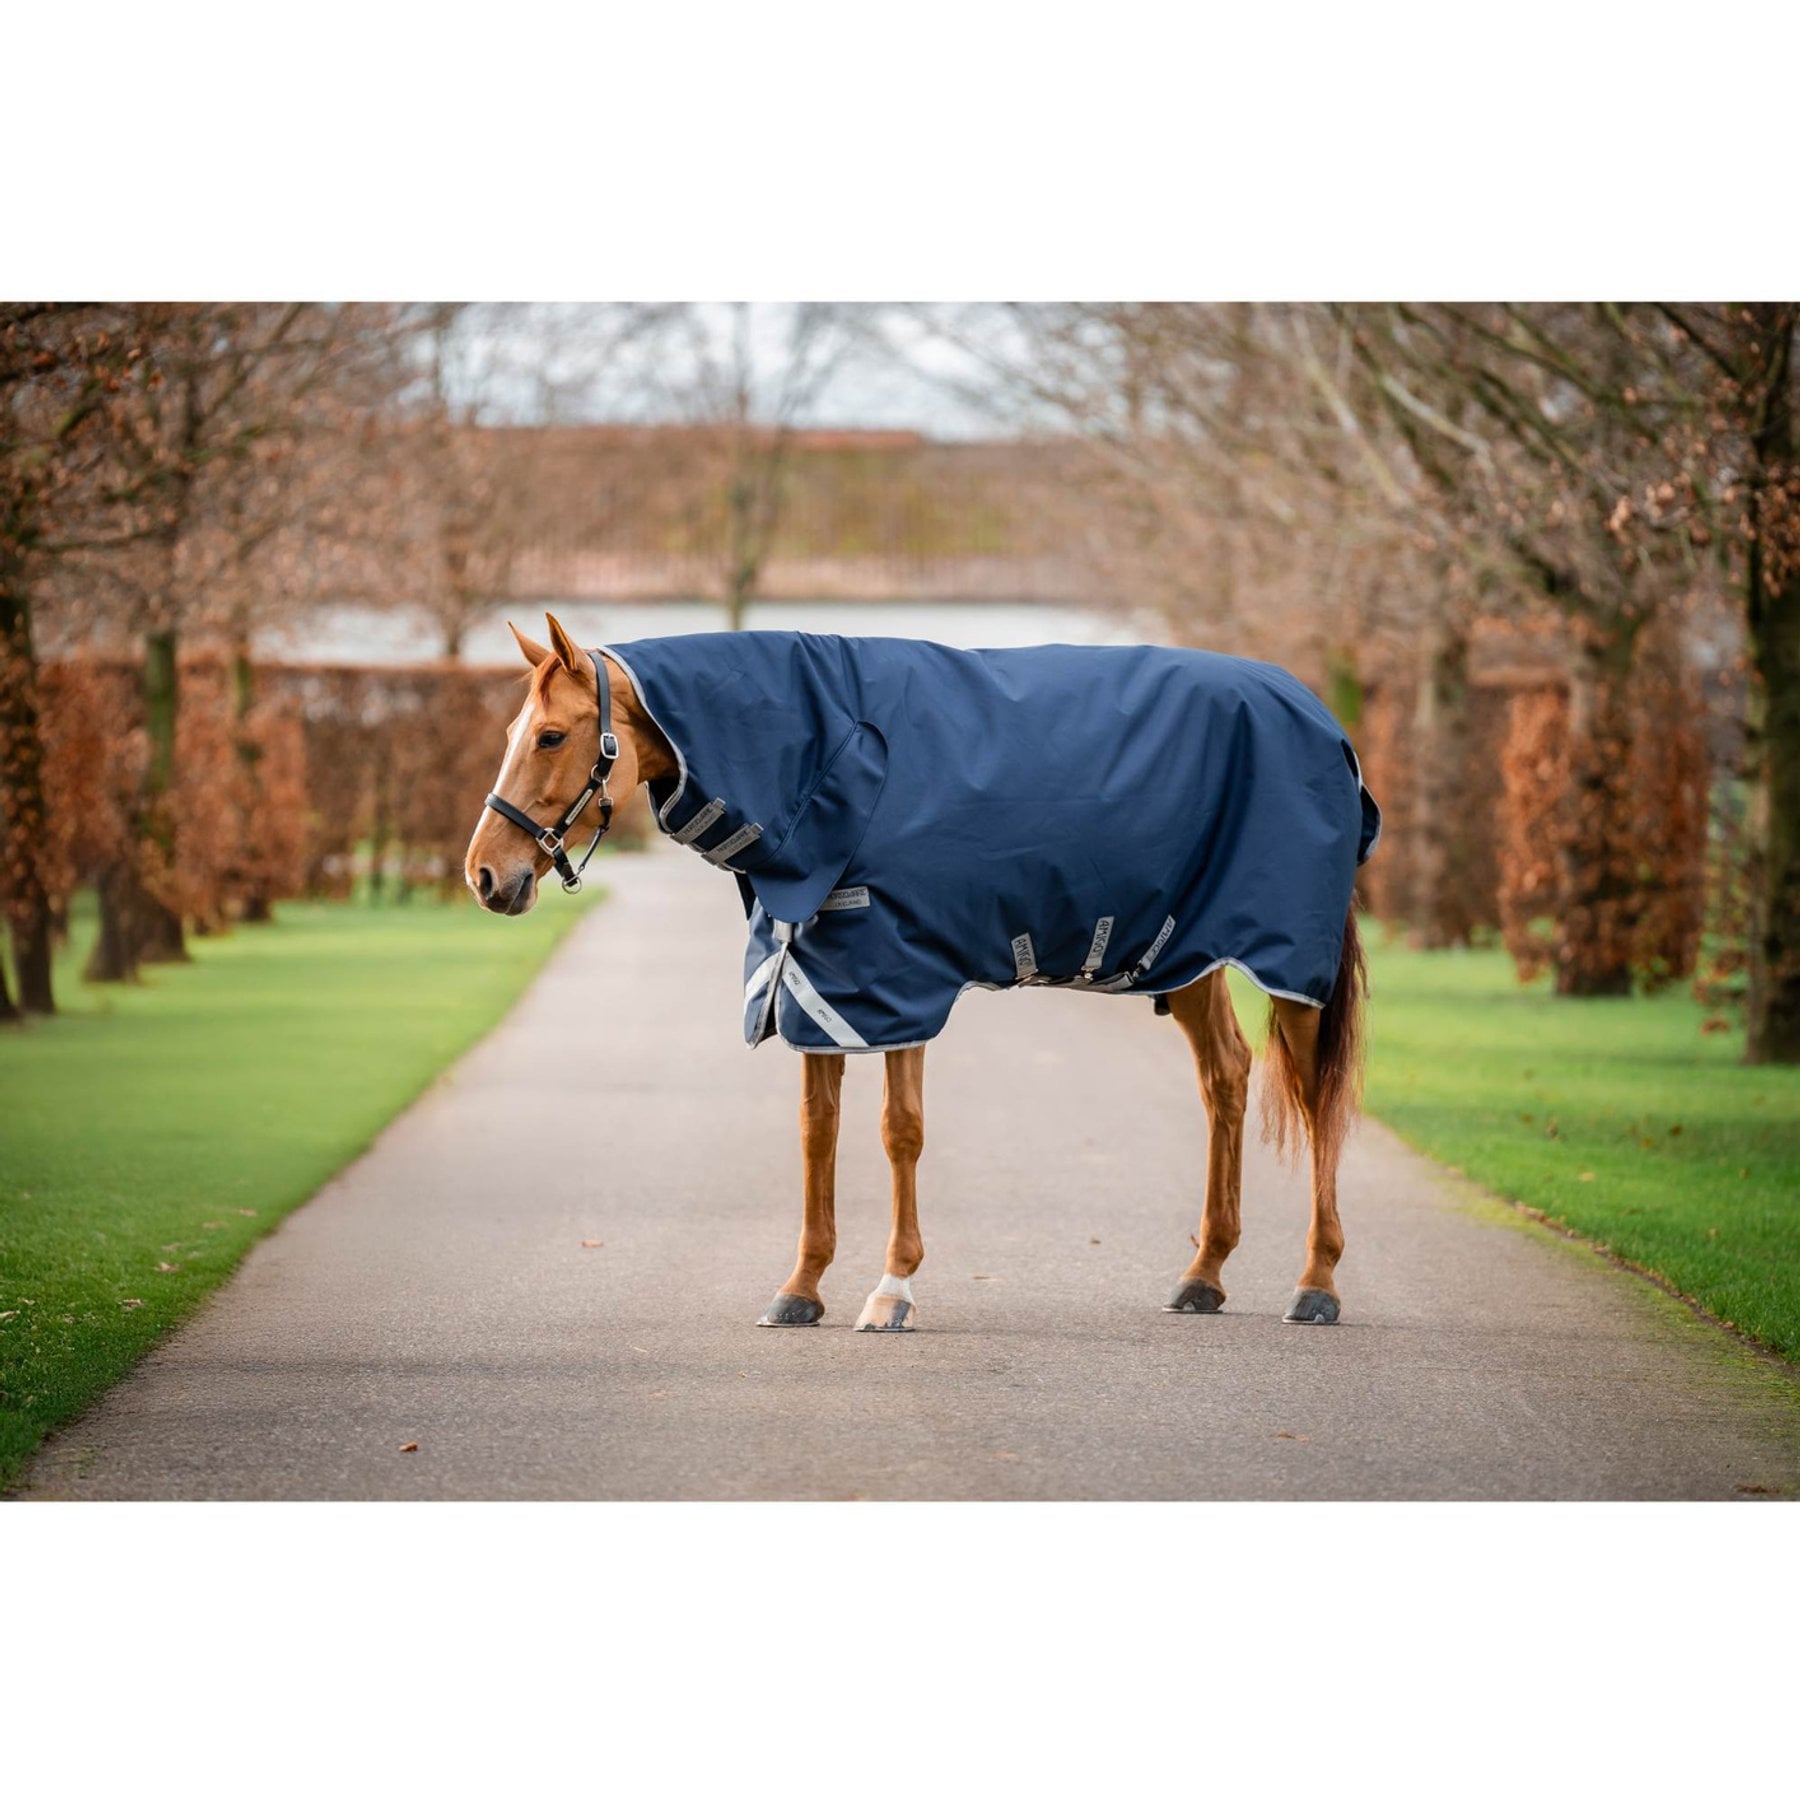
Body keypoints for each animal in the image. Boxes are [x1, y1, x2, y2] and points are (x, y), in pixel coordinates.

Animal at [465, 613, 1374, 1333]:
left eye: (551, 736)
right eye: (509, 736)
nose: (484, 876)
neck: (827, 755)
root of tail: (1321, 721)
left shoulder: (898, 980)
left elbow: (898, 1131)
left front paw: (892, 1289)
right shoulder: (818, 980)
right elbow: (817, 1131)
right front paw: (801, 1288)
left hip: (1285, 963)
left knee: (1315, 1100)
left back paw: (1317, 1283)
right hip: (1186, 956)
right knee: (1226, 1076)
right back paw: (1204, 1275)